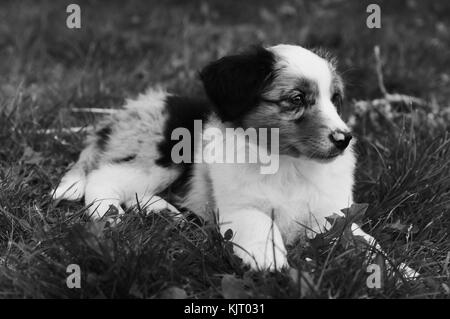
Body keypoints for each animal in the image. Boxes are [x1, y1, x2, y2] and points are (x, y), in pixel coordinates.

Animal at [51, 43, 412, 276]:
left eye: (335, 99)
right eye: (296, 99)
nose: (343, 139)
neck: (287, 163)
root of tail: (130, 109)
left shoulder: (332, 214)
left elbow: (368, 243)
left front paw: (402, 272)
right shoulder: (242, 208)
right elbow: (262, 226)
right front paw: (270, 265)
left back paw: (165, 212)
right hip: (162, 155)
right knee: (104, 177)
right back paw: (107, 214)